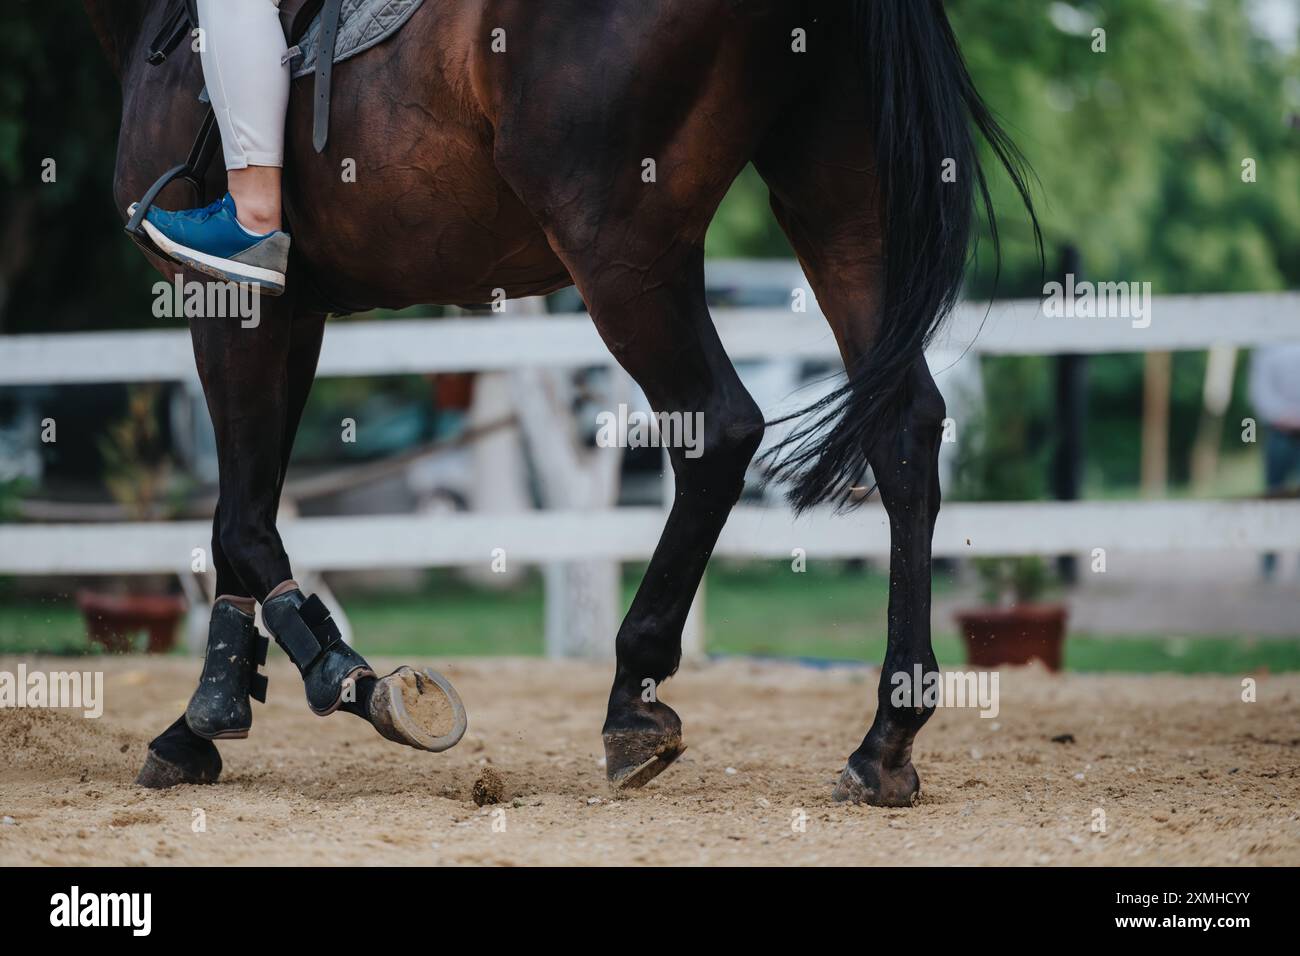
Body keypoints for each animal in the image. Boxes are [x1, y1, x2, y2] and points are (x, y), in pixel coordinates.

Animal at [85, 0, 1036, 806]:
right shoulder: (295, 312)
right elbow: (241, 510)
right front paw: (207, 714)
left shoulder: (230, 299)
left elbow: (241, 517)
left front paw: (326, 677)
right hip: (841, 208)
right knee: (902, 429)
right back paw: (884, 742)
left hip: (619, 243)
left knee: (718, 428)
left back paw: (634, 704)